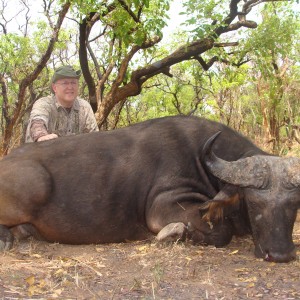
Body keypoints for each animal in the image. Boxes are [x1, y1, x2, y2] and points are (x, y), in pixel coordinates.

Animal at [0, 116, 298, 262]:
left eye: (293, 205)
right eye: (254, 202)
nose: (280, 254)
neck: (202, 158)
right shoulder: (164, 206)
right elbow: (220, 231)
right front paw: (174, 234)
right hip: (36, 184)